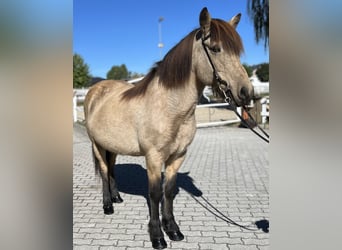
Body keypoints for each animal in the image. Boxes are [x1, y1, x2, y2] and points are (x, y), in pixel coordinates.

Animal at [84, 6, 252, 249]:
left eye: (237, 51)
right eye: (215, 48)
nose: (246, 93)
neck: (169, 107)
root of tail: (95, 90)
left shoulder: (178, 155)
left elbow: (169, 192)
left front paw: (173, 229)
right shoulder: (154, 157)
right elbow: (155, 194)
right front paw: (157, 236)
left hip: (112, 146)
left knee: (112, 169)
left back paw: (117, 197)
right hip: (97, 145)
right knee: (105, 172)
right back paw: (108, 205)